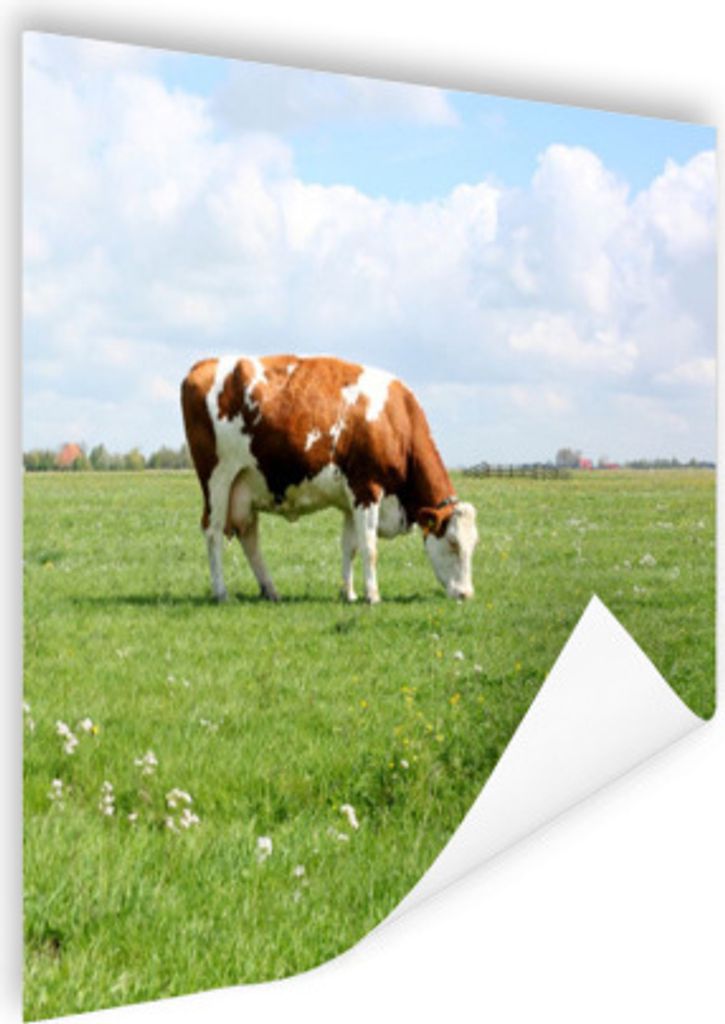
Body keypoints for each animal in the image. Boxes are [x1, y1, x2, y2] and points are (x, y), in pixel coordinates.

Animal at [181, 354, 478, 604]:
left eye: (473, 544)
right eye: (453, 543)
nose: (466, 594)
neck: (395, 420)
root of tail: (204, 364)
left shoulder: (351, 501)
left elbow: (350, 547)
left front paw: (349, 593)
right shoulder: (366, 489)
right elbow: (369, 546)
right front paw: (373, 596)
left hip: (244, 485)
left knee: (249, 536)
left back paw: (270, 590)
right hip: (218, 479)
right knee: (213, 532)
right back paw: (222, 593)